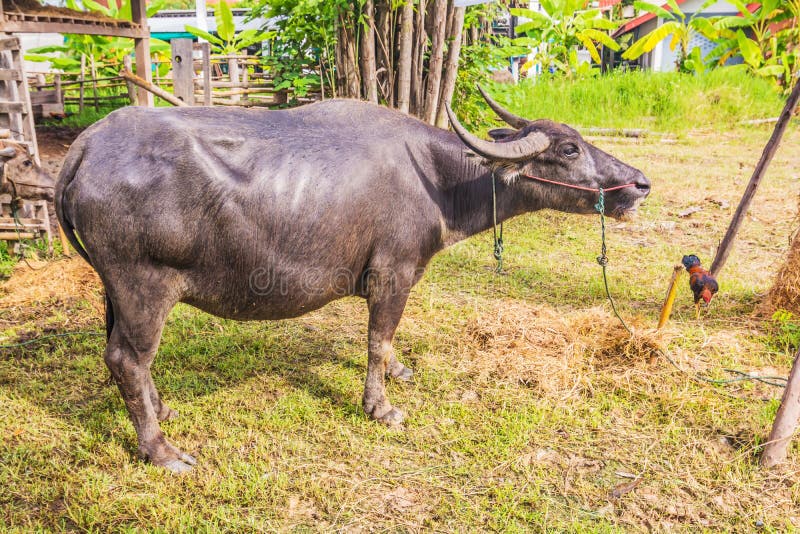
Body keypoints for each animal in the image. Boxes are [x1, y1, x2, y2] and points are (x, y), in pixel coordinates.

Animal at [55, 93, 650, 472]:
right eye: (569, 149)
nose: (640, 183)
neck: (436, 180)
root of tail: (88, 145)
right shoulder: (394, 273)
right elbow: (376, 339)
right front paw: (381, 406)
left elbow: (386, 344)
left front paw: (399, 371)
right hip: (143, 285)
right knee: (128, 358)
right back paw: (162, 450)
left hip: (115, 291)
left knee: (129, 357)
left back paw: (162, 412)